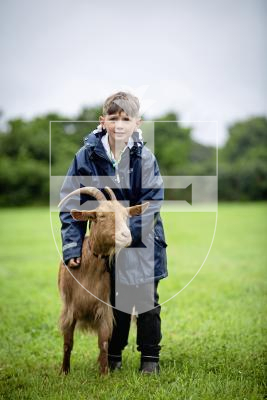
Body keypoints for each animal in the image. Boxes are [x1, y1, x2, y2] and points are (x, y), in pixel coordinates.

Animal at [58, 188, 149, 376]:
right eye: (101, 216)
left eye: (126, 215)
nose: (126, 236)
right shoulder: (69, 310)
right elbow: (67, 343)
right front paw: (64, 372)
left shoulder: (104, 309)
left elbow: (104, 343)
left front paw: (104, 374)